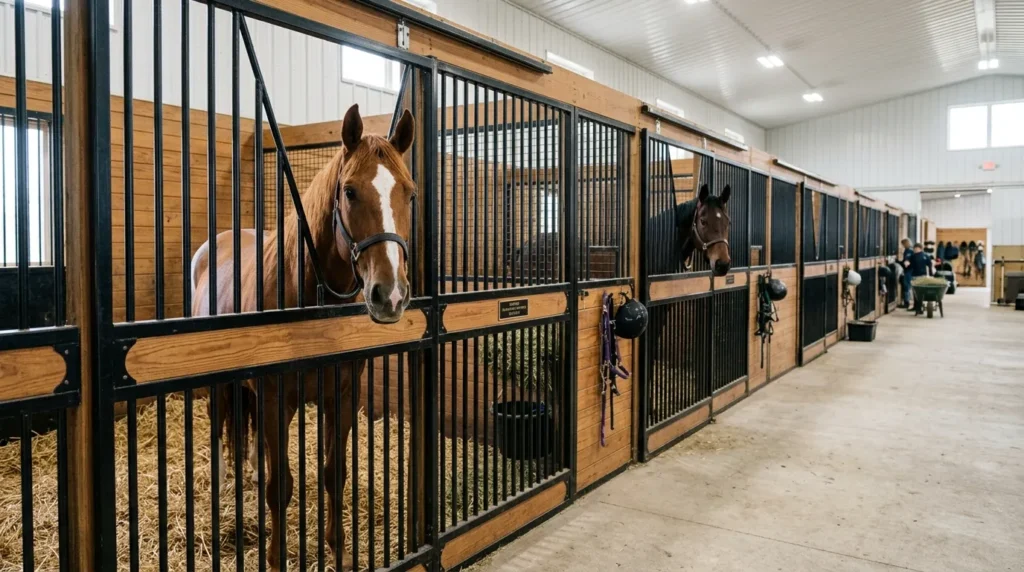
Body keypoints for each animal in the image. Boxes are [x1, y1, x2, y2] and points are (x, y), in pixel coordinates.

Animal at [190, 104, 416, 571]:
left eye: (410, 193)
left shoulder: (342, 397)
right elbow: (281, 486)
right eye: (349, 191)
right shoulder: (277, 398)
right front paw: (277, 558)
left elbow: (333, 474)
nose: (390, 294)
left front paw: (340, 551)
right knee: (219, 432)